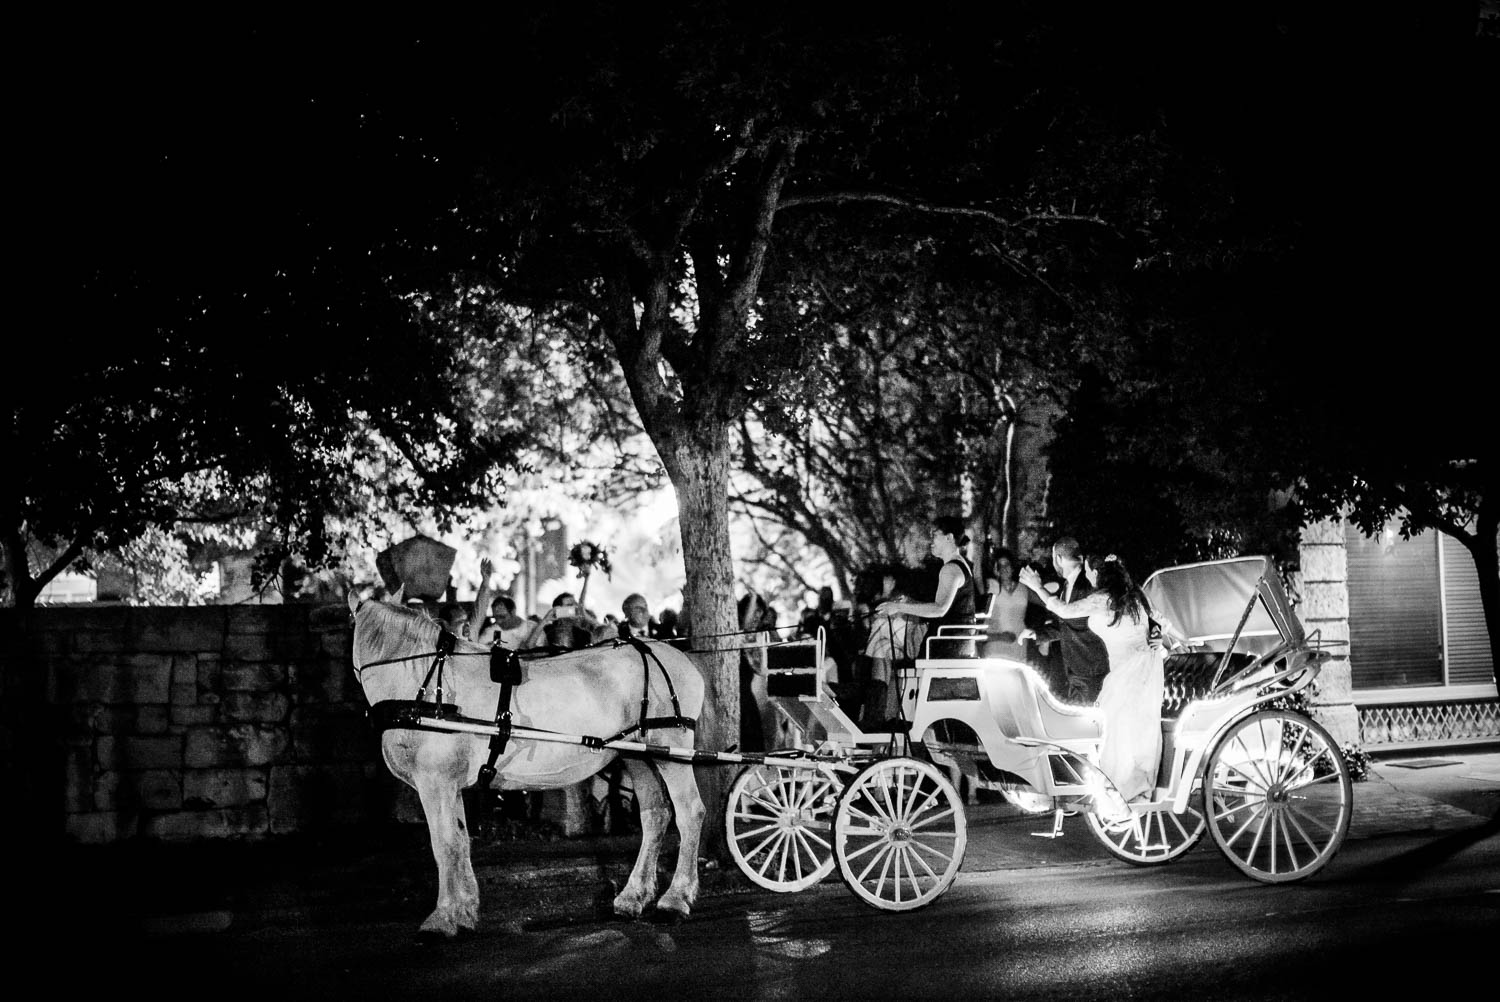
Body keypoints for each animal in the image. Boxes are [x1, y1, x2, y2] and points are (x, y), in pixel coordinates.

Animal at [348, 591, 705, 936]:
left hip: (671, 749)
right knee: (655, 814)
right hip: (638, 754)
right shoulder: (451, 784)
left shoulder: (435, 781)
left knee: (690, 812)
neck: (425, 685)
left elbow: (444, 844)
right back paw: (633, 896)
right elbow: (461, 841)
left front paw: (443, 917)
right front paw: (464, 910)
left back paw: (676, 899)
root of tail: (676, 656)